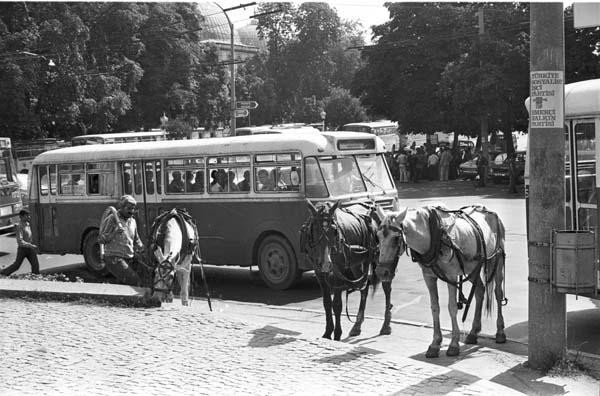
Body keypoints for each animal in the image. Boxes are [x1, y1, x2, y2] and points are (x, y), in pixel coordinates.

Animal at [300, 201, 394, 340]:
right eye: (314, 229)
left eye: (334, 230)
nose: (326, 263)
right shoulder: (319, 272)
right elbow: (327, 303)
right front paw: (327, 333)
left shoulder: (339, 272)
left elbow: (337, 305)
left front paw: (337, 334)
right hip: (356, 264)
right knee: (364, 288)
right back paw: (357, 326)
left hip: (380, 258)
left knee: (386, 287)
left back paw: (386, 325)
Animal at [378, 200, 504, 358]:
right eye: (378, 236)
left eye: (396, 238)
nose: (382, 272)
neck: (434, 235)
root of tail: (489, 211)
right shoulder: (429, 277)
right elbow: (435, 307)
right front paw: (435, 343)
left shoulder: (452, 276)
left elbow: (452, 307)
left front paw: (454, 344)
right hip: (472, 268)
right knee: (480, 291)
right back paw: (473, 333)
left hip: (497, 260)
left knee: (498, 293)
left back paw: (500, 332)